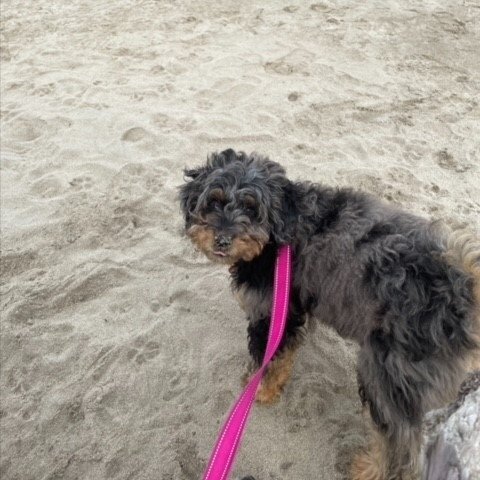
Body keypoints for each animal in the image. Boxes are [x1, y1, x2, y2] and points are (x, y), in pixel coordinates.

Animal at [178, 150, 478, 480]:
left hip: (389, 375)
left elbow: (266, 358)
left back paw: (371, 469)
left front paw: (259, 390)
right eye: (213, 201)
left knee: (400, 444)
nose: (221, 239)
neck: (280, 234)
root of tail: (460, 284)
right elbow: (285, 352)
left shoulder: (269, 310)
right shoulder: (291, 308)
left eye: (251, 208)